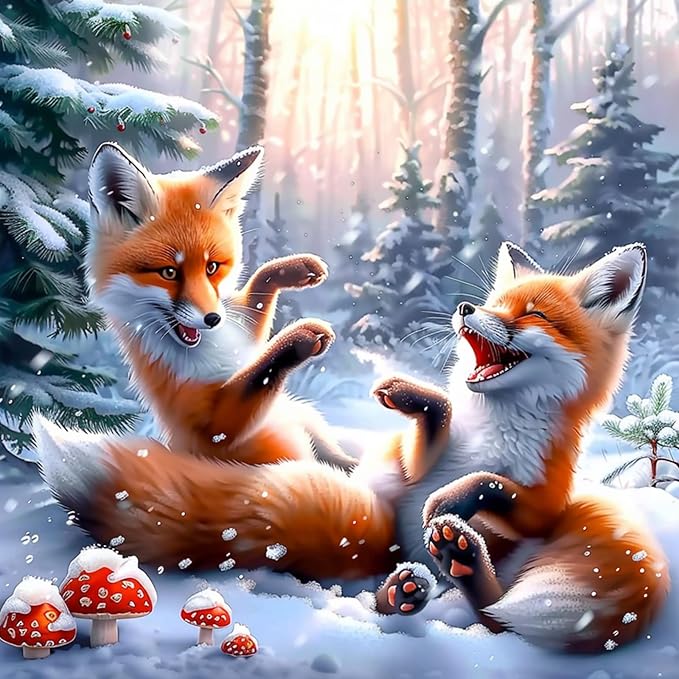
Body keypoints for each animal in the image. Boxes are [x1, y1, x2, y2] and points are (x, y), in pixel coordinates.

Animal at [35, 239, 668, 652]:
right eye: (494, 302)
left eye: (533, 313)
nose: (467, 309)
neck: (494, 427)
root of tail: (387, 546)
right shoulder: (413, 462)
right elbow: (433, 430)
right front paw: (411, 396)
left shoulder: (543, 503)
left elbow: (494, 486)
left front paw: (456, 497)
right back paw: (406, 588)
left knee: (492, 614)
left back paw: (454, 562)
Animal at [82, 141, 355, 470]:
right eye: (169, 273)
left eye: (212, 267)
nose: (213, 319)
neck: (210, 348)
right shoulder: (207, 430)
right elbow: (257, 377)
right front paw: (297, 338)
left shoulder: (242, 332)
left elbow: (260, 285)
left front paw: (296, 268)